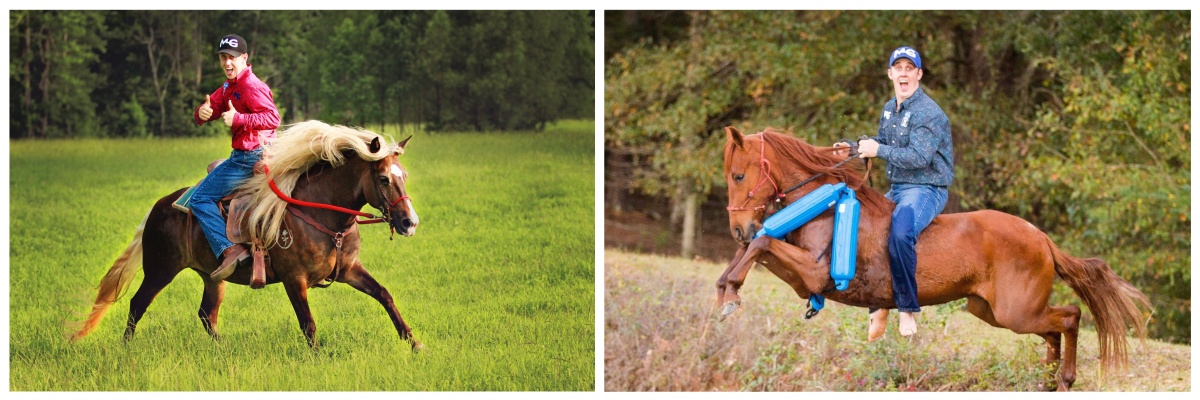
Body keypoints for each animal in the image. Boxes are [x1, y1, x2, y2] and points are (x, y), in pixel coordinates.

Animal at [66, 120, 422, 350]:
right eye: (383, 179)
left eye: (403, 175)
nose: (410, 222)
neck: (321, 214)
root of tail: (159, 206)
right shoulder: (294, 279)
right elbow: (308, 323)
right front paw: (319, 356)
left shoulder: (349, 270)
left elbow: (384, 295)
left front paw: (413, 342)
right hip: (160, 270)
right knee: (137, 304)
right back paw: (125, 349)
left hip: (212, 277)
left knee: (206, 314)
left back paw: (223, 348)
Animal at [715, 126, 1147, 389]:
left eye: (738, 176)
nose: (736, 227)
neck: (825, 205)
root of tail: (1041, 238)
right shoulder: (796, 274)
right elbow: (754, 247)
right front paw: (724, 291)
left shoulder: (814, 274)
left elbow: (761, 244)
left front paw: (731, 292)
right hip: (992, 311)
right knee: (1055, 329)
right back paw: (1046, 380)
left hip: (1016, 312)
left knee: (1071, 317)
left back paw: (1065, 379)